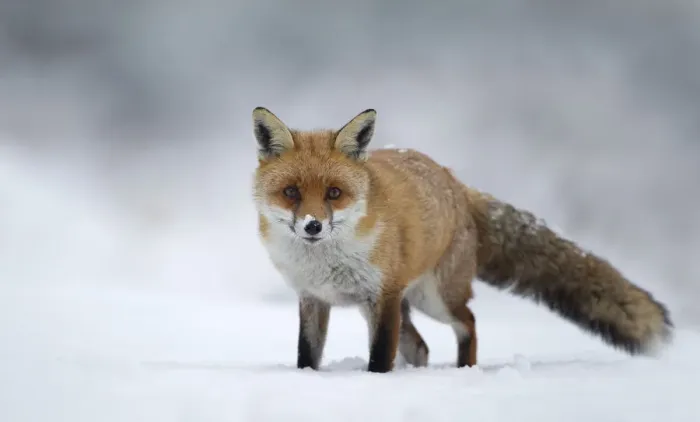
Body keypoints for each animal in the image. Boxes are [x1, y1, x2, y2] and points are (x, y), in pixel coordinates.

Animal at [251, 106, 674, 373]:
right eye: (291, 193)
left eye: (334, 193)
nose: (313, 226)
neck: (324, 262)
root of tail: (455, 182)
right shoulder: (314, 299)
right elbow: (307, 356)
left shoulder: (381, 299)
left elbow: (379, 359)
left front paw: (378, 386)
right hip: (404, 305)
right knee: (420, 346)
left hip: (433, 298)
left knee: (468, 322)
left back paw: (464, 369)